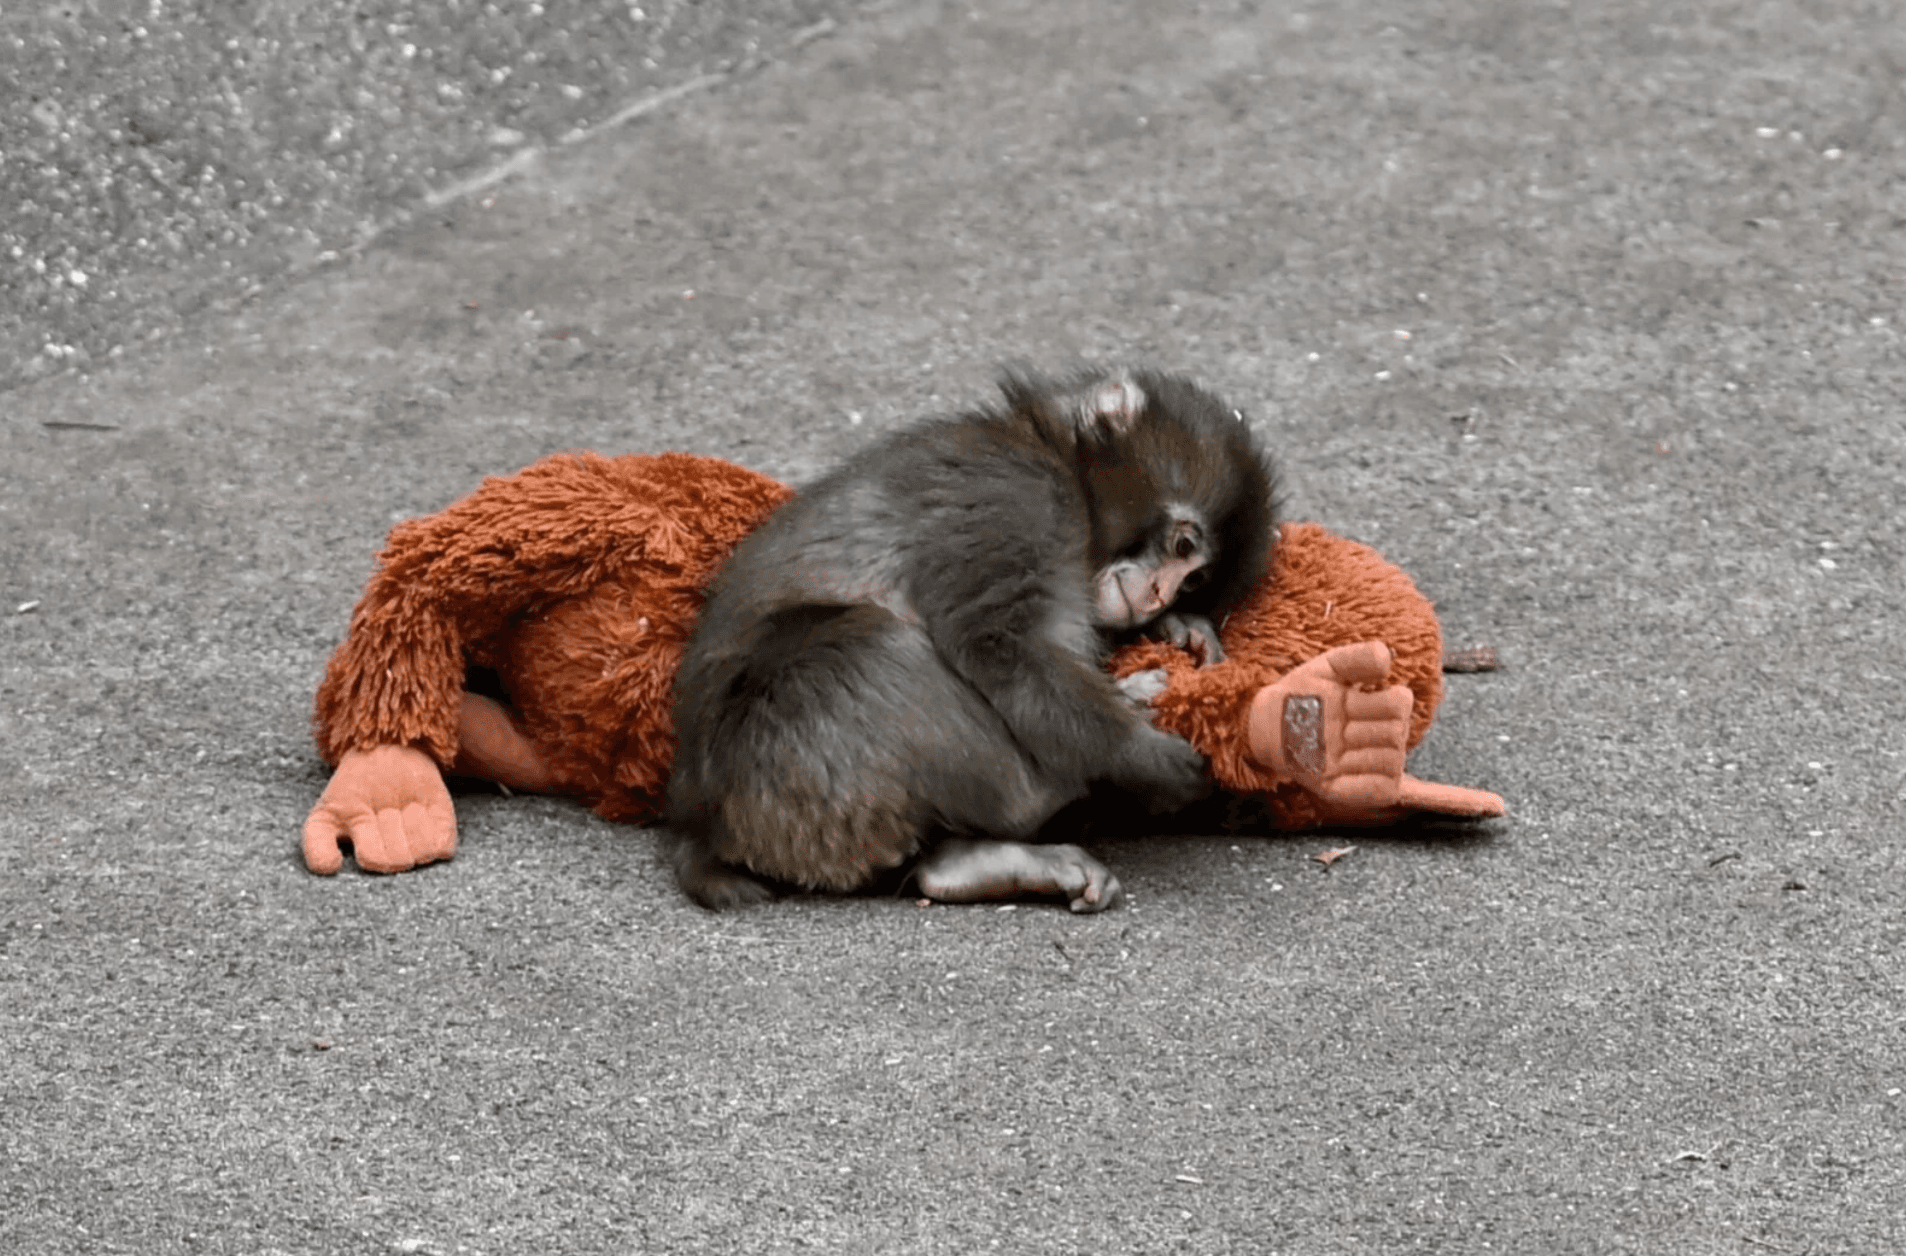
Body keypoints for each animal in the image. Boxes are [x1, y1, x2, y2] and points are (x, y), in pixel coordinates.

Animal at [665, 367, 1278, 913]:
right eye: (1182, 547)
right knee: (869, 645)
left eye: (1194, 581)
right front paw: (1143, 754)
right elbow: (1000, 644)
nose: (1158, 596)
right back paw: (1055, 788)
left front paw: (1179, 629)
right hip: (781, 768)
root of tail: (704, 828)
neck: (1057, 462)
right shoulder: (1016, 496)